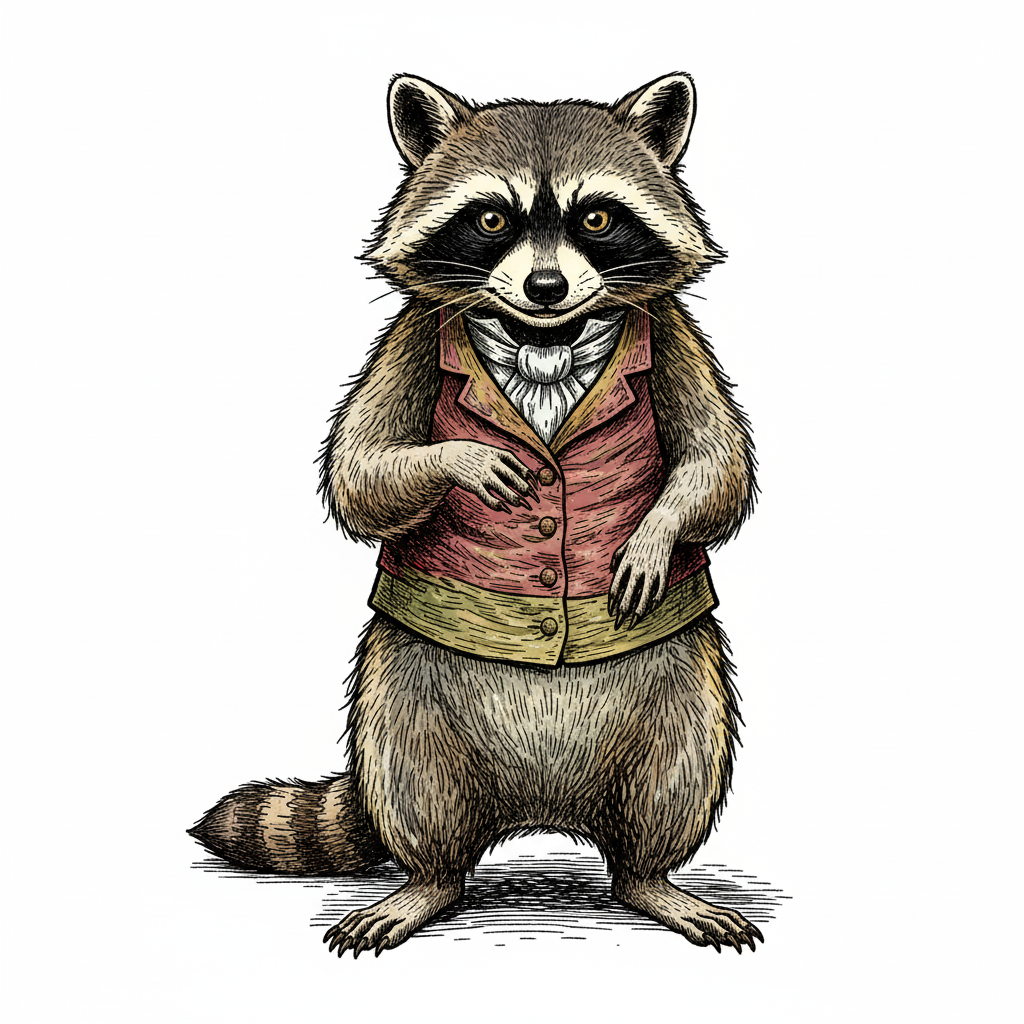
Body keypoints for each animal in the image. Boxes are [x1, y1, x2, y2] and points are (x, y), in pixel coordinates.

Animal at [189, 73, 759, 957]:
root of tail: (542, 809)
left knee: (677, 773)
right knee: (414, 784)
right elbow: (358, 471)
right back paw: (427, 881)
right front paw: (462, 459)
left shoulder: (673, 337)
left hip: (681, 689)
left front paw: (656, 532)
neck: (544, 340)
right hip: (403, 694)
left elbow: (716, 465)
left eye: (597, 218)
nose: (546, 288)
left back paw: (651, 878)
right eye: (492, 219)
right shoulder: (412, 338)